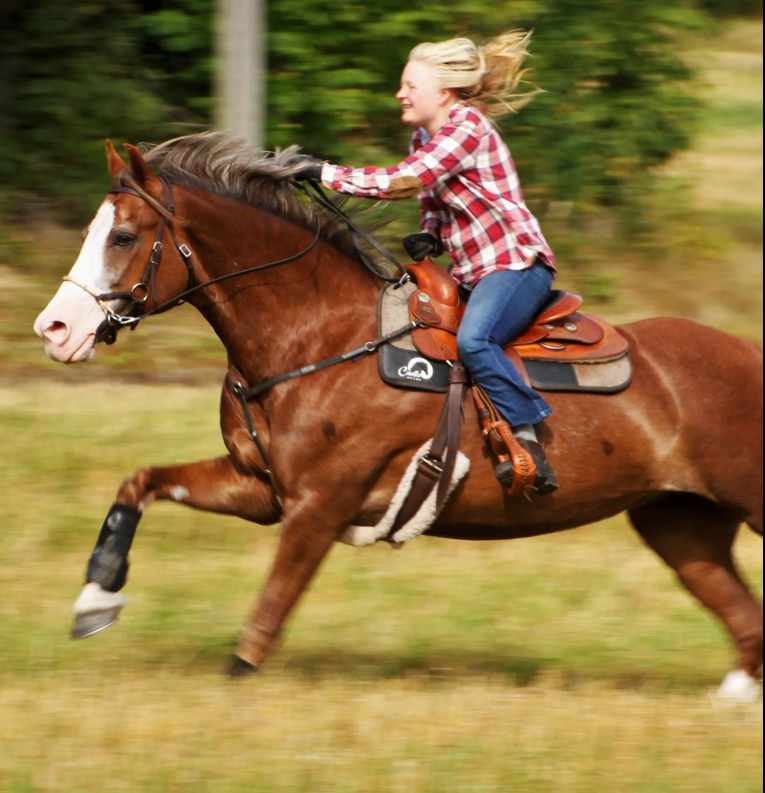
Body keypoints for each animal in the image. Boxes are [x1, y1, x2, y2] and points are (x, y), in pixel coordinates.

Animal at [33, 134, 763, 699]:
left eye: (124, 236)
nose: (54, 328)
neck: (317, 336)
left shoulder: (319, 504)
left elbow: (269, 610)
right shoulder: (260, 486)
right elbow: (140, 483)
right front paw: (95, 599)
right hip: (679, 523)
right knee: (745, 617)